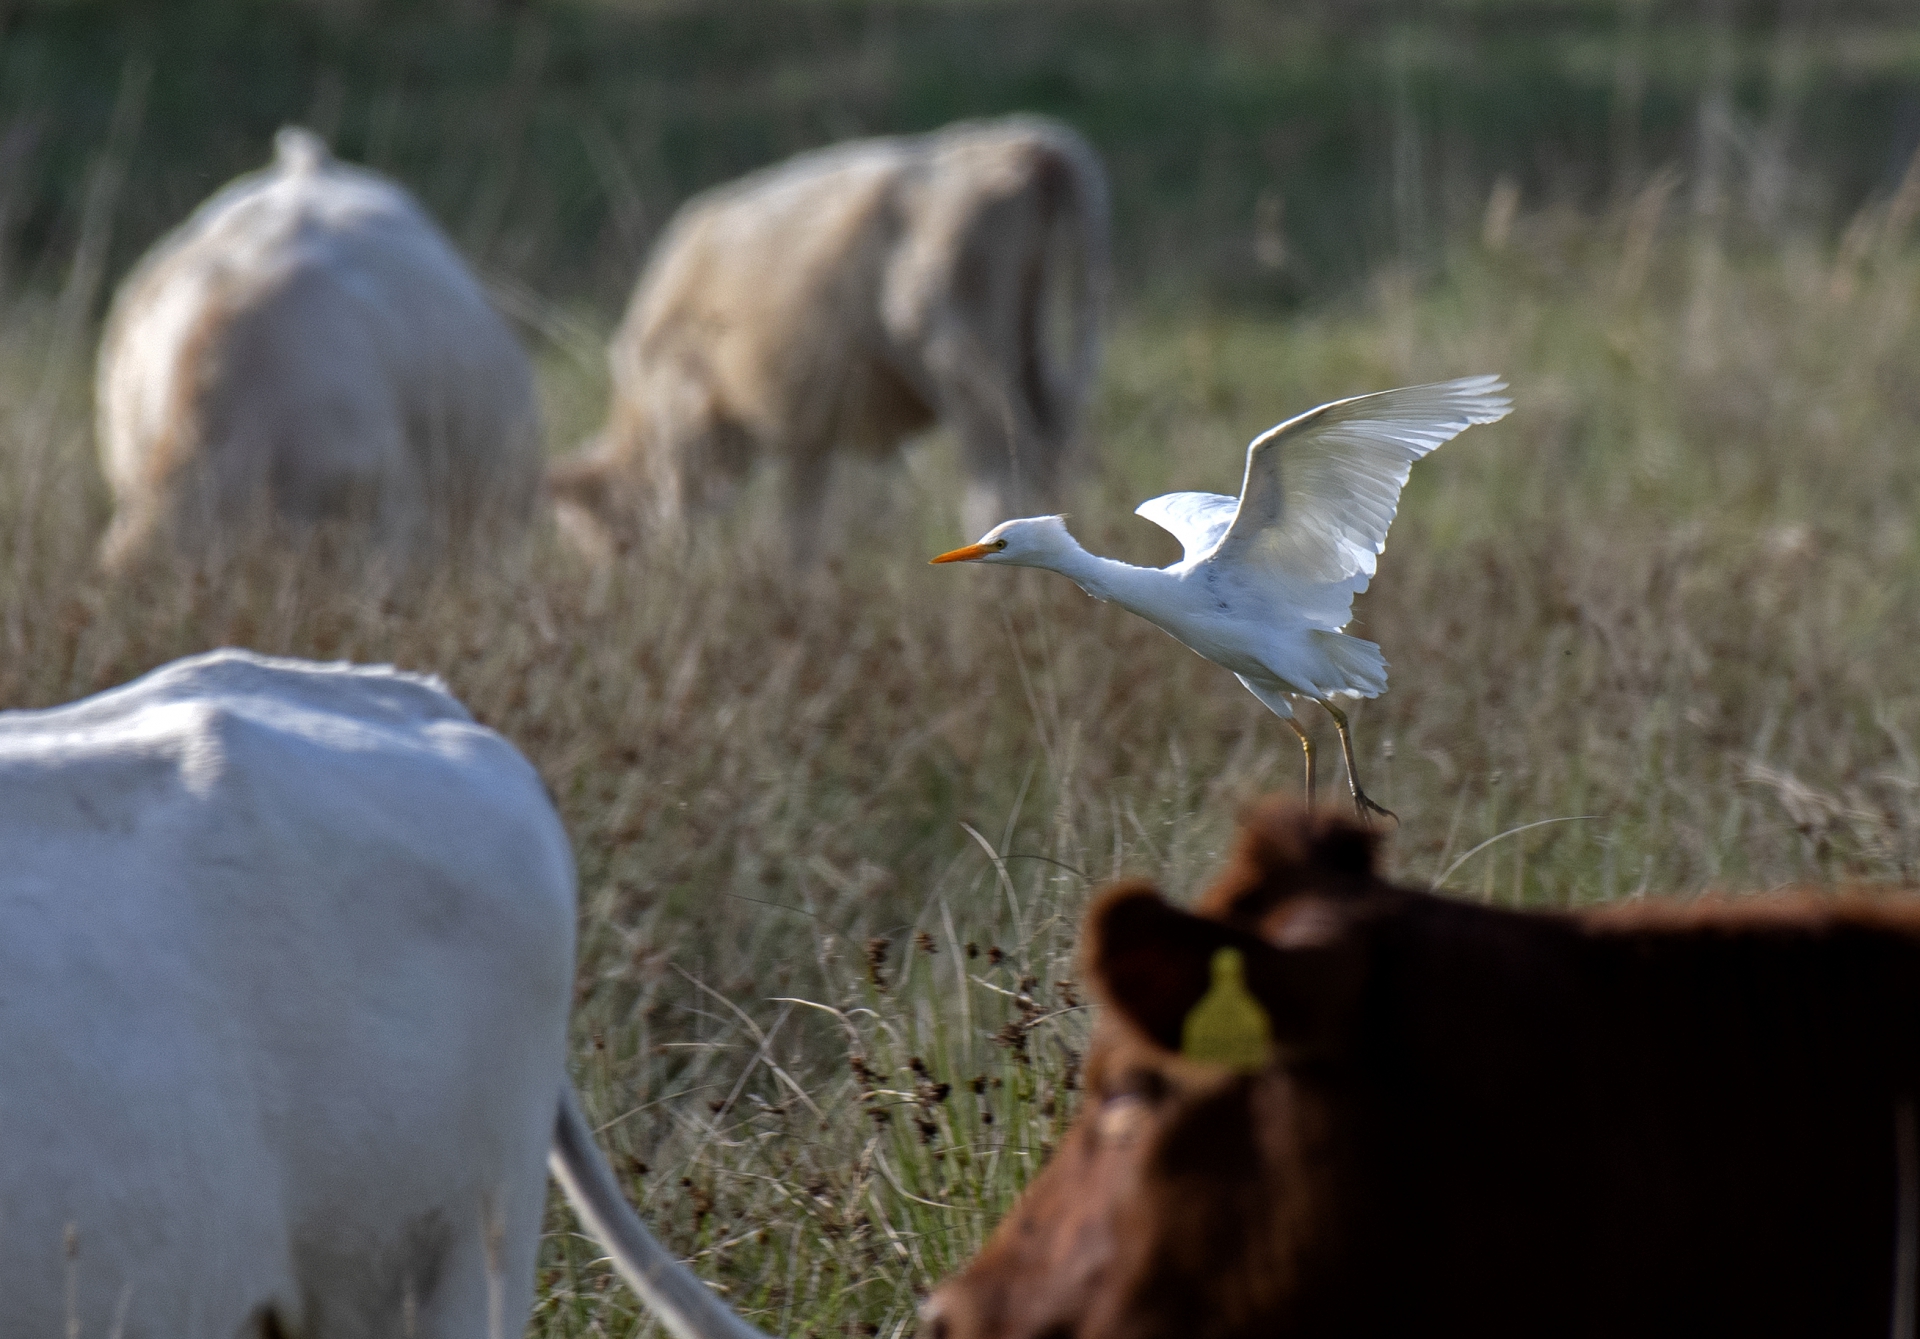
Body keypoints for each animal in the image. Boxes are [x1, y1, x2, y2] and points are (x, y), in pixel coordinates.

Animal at [549, 112, 1105, 557]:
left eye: (590, 534)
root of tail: (1022, 143)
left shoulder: (687, 426)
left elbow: (698, 519)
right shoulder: (807, 433)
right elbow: (801, 528)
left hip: (961, 366)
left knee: (1000, 474)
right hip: (1030, 355)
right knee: (1054, 448)